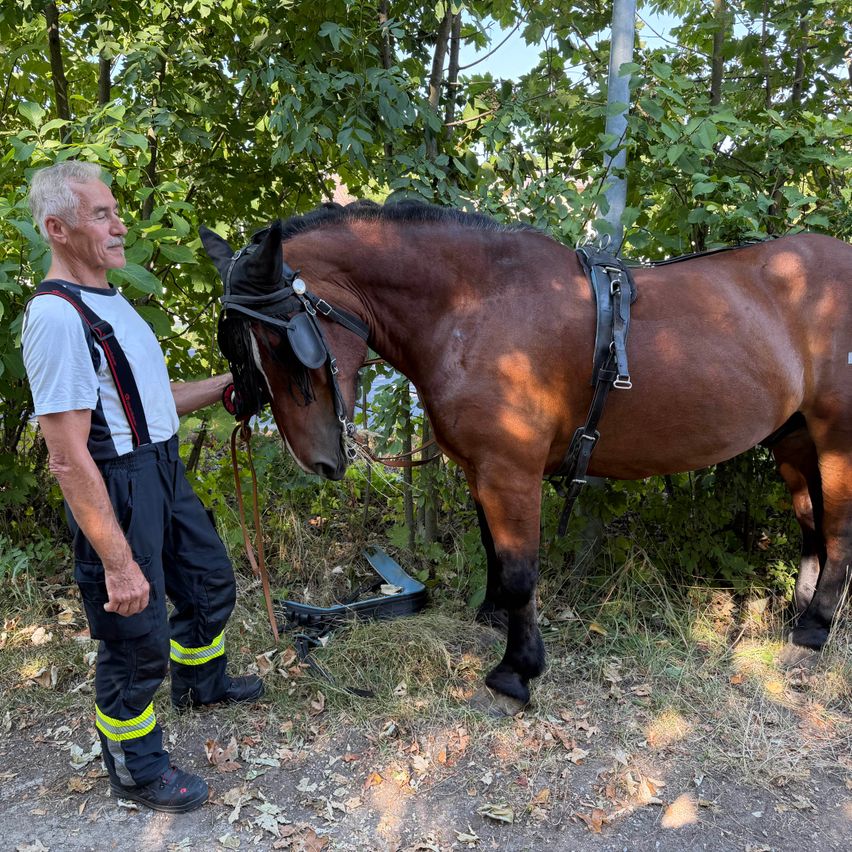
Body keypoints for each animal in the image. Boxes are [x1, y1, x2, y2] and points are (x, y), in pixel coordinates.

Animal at [200, 201, 852, 711]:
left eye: (284, 341)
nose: (315, 461)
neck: (475, 306)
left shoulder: (510, 471)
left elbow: (519, 570)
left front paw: (517, 670)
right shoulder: (480, 468)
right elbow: (495, 552)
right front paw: (493, 617)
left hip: (836, 435)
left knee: (838, 531)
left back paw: (815, 629)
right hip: (792, 437)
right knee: (811, 526)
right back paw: (796, 615)